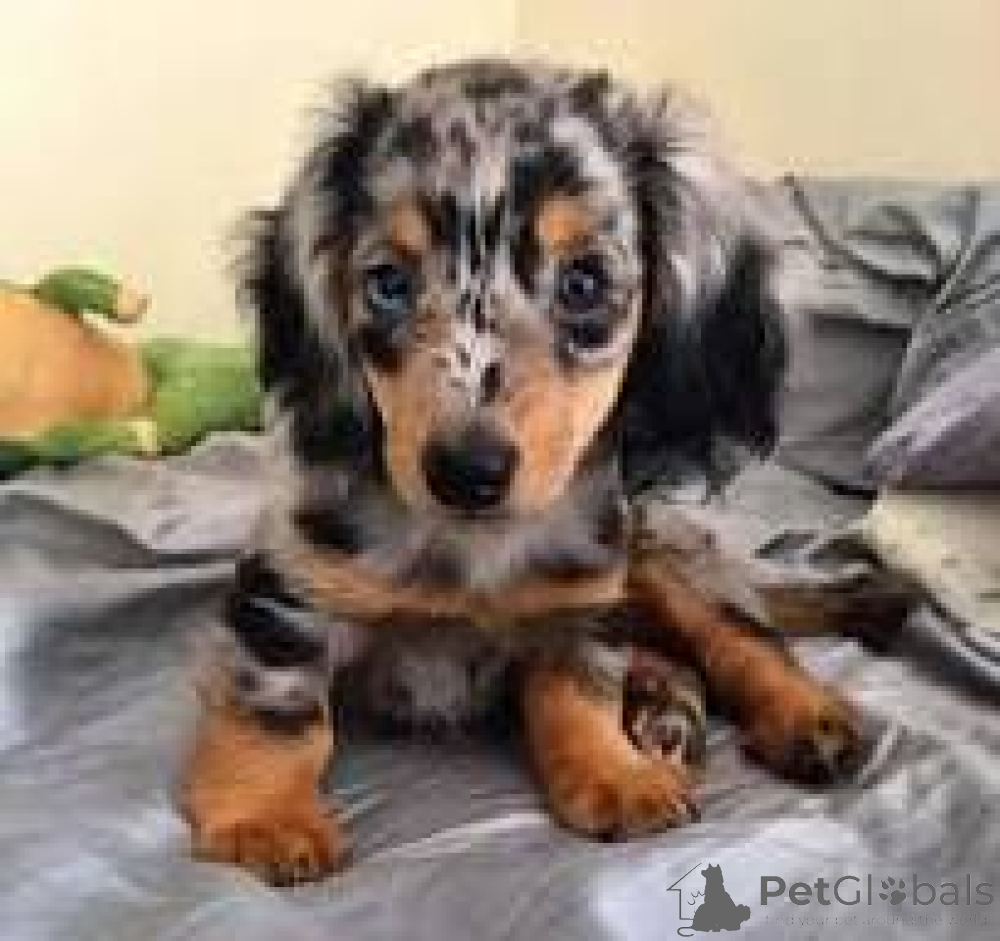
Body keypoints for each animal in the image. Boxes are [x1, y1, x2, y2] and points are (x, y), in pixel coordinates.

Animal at [179, 60, 869, 885]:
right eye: (388, 283)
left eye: (584, 283)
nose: (466, 471)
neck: (471, 545)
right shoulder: (291, 585)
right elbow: (278, 710)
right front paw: (265, 815)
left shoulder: (583, 595)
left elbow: (579, 686)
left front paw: (612, 771)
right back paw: (664, 705)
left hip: (663, 556)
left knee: (741, 636)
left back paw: (799, 715)